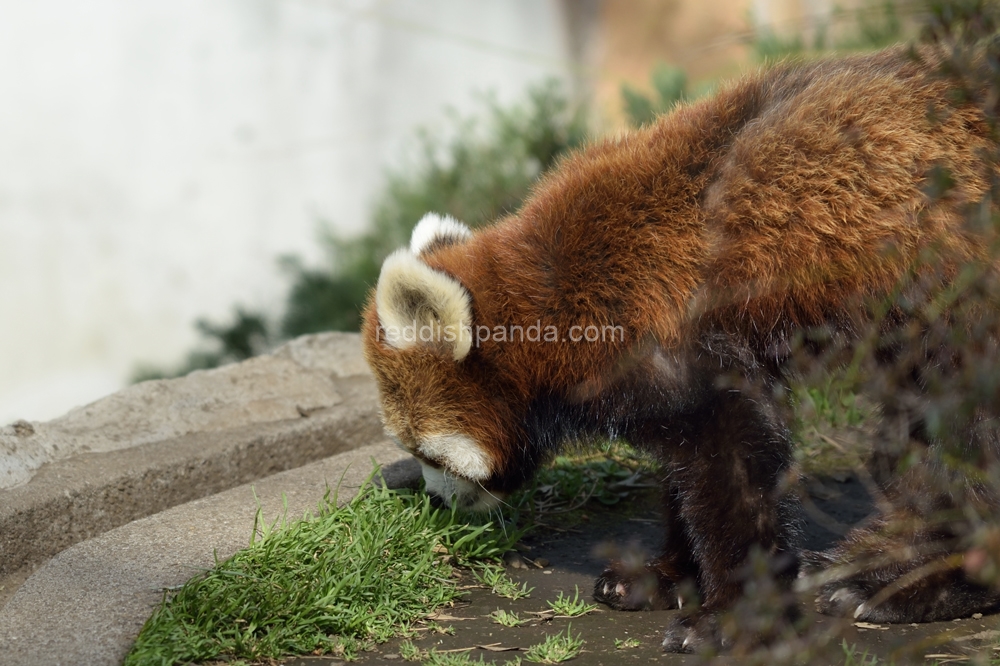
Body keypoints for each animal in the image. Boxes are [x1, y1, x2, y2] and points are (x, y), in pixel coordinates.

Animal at [360, 45, 1000, 648]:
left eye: (426, 453)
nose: (437, 502)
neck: (559, 289)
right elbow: (684, 466)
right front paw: (666, 576)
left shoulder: (674, 335)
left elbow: (734, 462)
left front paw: (728, 616)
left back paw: (915, 584)